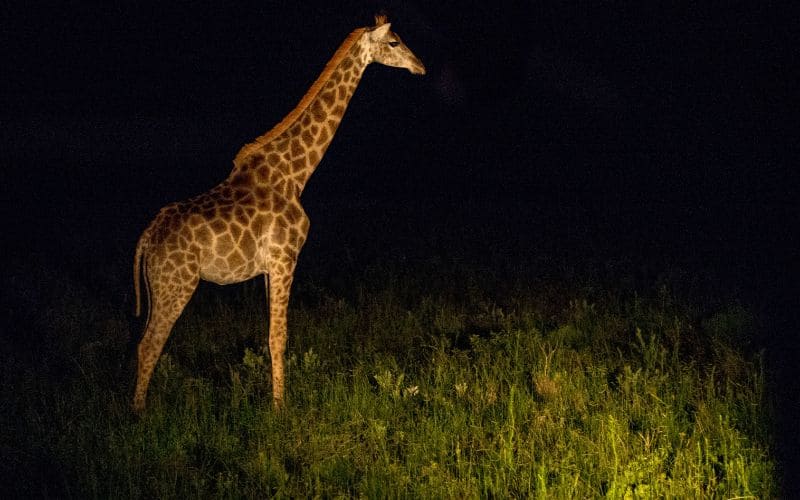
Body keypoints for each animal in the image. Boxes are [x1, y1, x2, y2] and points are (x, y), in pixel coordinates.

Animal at [131, 15, 425, 413]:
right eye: (394, 42)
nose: (419, 67)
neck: (295, 175)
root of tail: (146, 238)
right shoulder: (286, 257)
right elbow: (279, 337)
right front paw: (280, 409)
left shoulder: (270, 267)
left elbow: (269, 335)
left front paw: (274, 402)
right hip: (176, 284)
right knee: (150, 344)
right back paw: (139, 415)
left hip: (158, 287)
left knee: (143, 342)